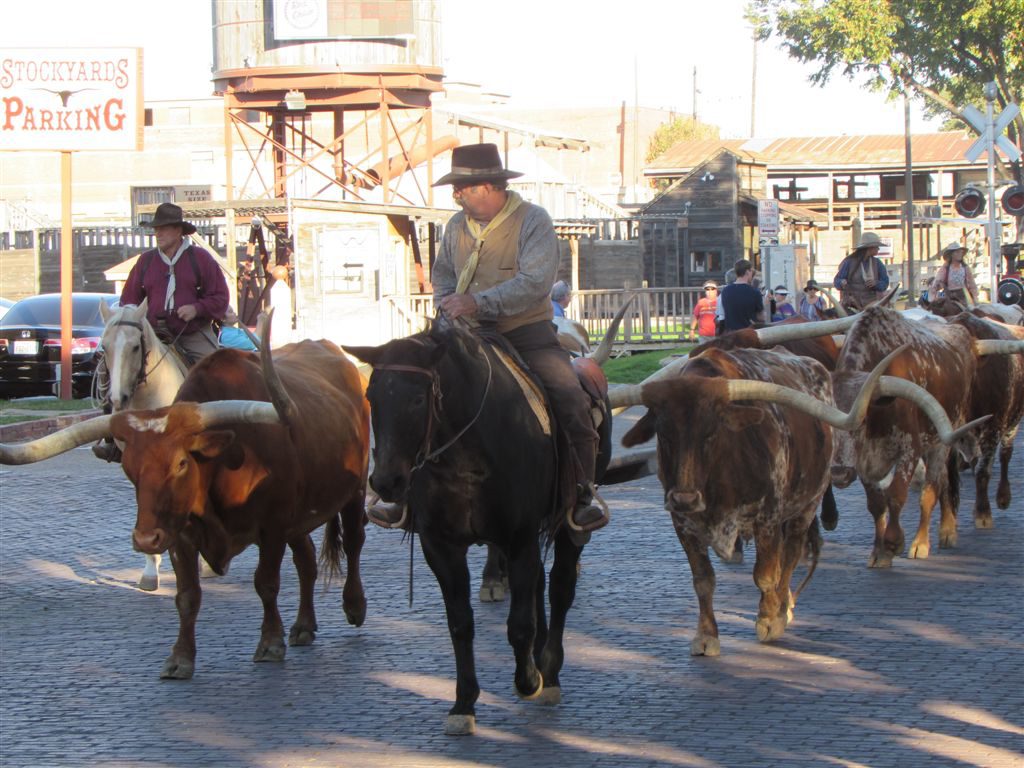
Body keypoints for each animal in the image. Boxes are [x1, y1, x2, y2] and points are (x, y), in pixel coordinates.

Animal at [344, 321, 589, 737]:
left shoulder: (520, 537)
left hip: (568, 526)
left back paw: (550, 672)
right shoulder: (440, 547)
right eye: (370, 396)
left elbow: (519, 624)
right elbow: (460, 624)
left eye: (417, 400)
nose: (386, 482)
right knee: (539, 586)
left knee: (559, 588)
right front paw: (463, 703)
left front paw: (529, 680)